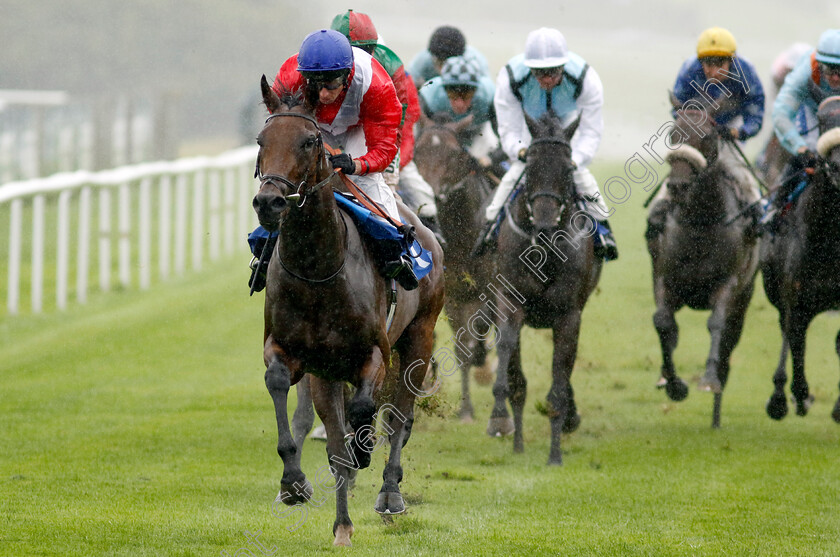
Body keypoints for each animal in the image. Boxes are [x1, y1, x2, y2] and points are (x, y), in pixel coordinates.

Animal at [251, 76, 442, 544]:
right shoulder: (292, 352)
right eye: (262, 141)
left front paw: (364, 450)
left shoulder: (375, 353)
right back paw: (342, 525)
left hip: (420, 339)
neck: (318, 269)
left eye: (308, 141)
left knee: (399, 418)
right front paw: (293, 482)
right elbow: (281, 387)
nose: (269, 203)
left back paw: (389, 493)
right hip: (328, 372)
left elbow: (366, 412)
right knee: (339, 439)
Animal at [414, 115, 498, 420]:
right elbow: (463, 349)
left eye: (453, 154)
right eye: (417, 152)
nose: (429, 194)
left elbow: (481, 327)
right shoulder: (452, 295)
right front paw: (465, 409)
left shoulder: (491, 287)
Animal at [482, 113, 600, 464]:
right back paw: (518, 441)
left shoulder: (569, 314)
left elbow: (559, 381)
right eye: (530, 166)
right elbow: (507, 351)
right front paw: (498, 417)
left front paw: (555, 454)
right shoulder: (508, 300)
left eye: (568, 169)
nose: (546, 226)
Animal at [648, 94, 760, 426]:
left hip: (745, 298)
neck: (700, 222)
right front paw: (674, 384)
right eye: (673, 134)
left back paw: (716, 411)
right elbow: (663, 323)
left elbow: (716, 324)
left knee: (729, 344)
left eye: (707, 136)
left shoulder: (728, 283)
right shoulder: (665, 278)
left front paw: (709, 380)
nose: (677, 186)